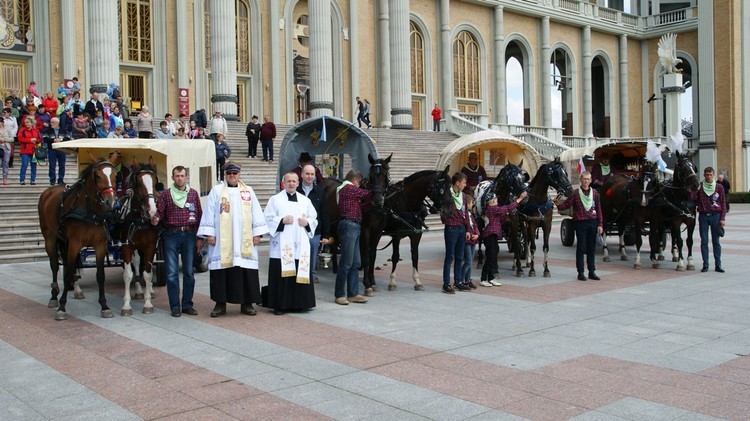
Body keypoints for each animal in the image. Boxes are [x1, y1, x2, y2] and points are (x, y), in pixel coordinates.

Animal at [38, 153, 119, 320]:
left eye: (115, 175)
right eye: (97, 176)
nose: (111, 201)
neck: (90, 211)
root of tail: (49, 190)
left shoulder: (100, 244)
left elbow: (100, 274)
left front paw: (104, 306)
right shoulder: (75, 243)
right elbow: (68, 273)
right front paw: (62, 307)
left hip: (65, 241)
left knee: (71, 264)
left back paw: (76, 289)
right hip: (50, 238)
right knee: (55, 265)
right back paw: (54, 296)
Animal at [116, 158, 160, 316]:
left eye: (154, 182)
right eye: (138, 183)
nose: (152, 211)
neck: (139, 220)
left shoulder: (150, 246)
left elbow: (147, 273)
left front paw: (148, 303)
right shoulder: (126, 246)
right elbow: (128, 274)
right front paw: (126, 305)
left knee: (145, 265)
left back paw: (149, 290)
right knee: (136, 264)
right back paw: (139, 290)